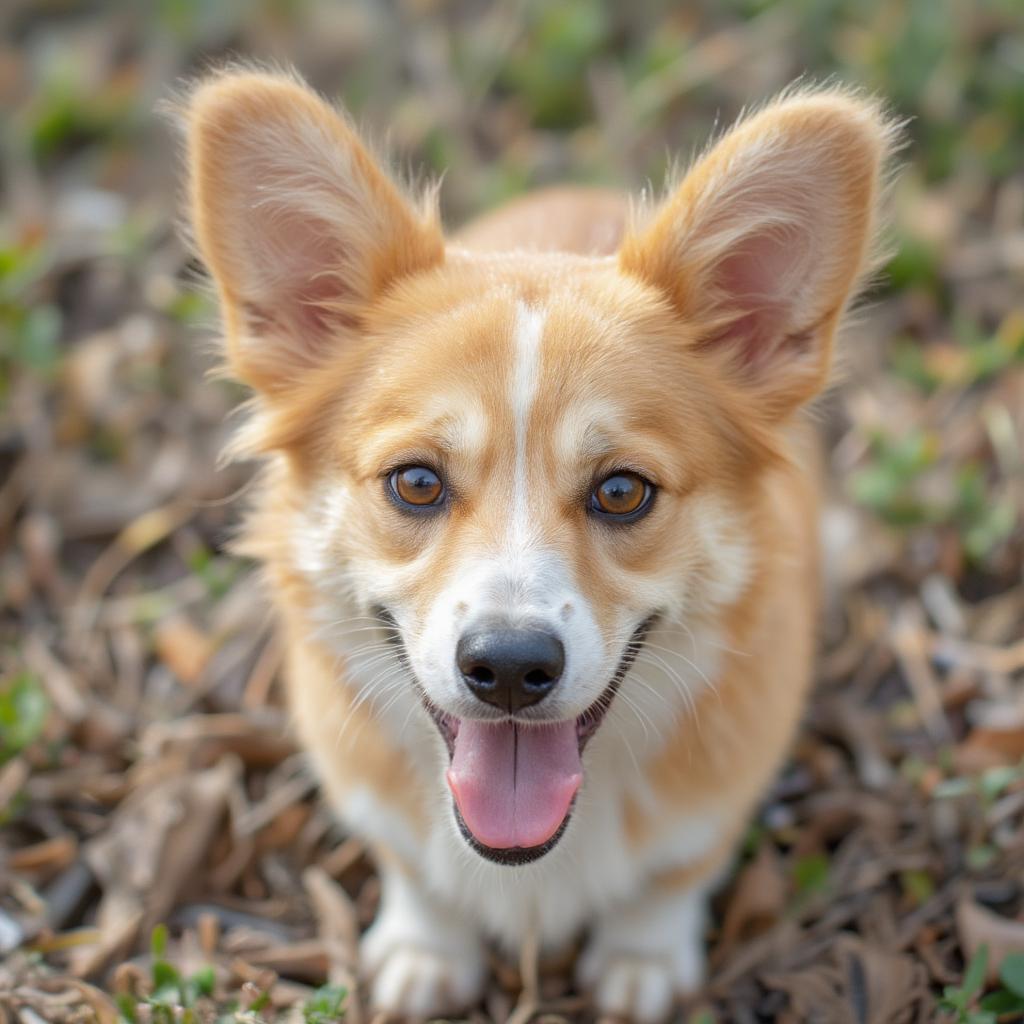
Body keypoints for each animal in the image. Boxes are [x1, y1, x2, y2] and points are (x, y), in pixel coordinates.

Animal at [182, 68, 897, 1019]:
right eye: (416, 481)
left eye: (622, 491)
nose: (511, 668)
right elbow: (412, 867)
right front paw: (425, 949)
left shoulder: (714, 797)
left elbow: (674, 874)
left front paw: (641, 958)